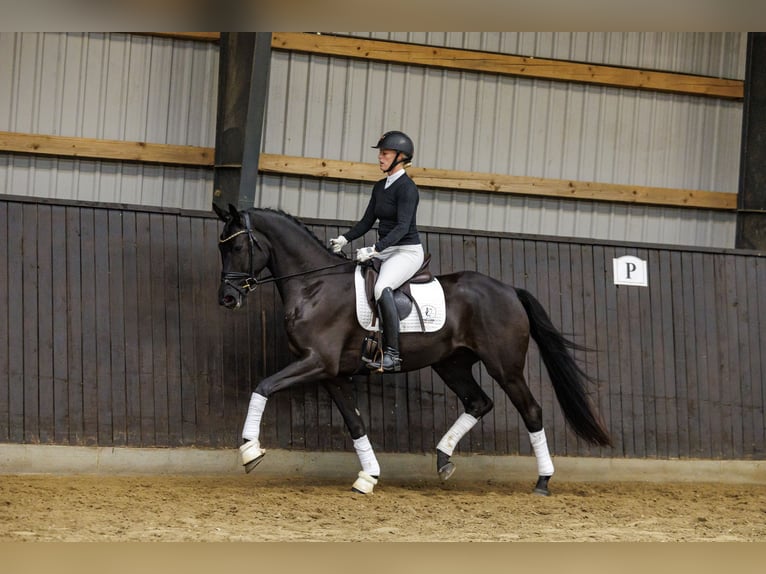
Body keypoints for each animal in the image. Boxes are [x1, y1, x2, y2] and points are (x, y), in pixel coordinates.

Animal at [214, 205, 612, 498]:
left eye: (237, 248)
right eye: (221, 248)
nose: (227, 299)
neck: (315, 285)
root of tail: (509, 290)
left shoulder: (316, 362)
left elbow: (263, 387)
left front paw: (250, 450)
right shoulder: (332, 373)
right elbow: (355, 423)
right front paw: (368, 477)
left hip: (505, 366)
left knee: (530, 411)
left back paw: (543, 481)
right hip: (451, 364)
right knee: (479, 402)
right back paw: (443, 459)